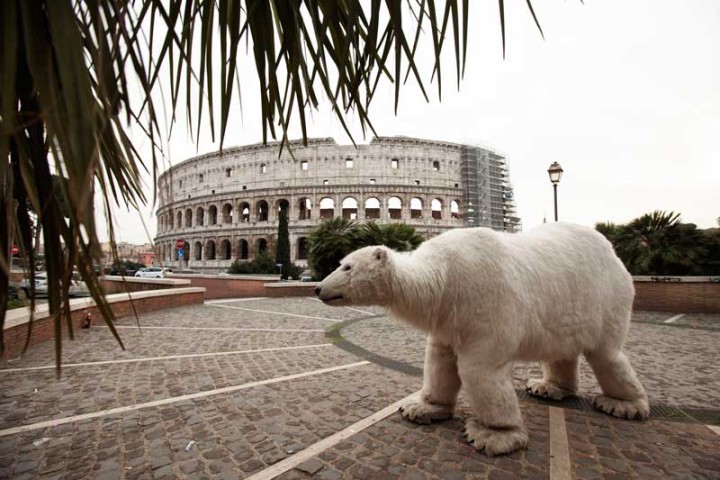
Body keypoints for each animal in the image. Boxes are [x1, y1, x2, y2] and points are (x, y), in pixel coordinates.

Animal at [315, 222, 649, 456]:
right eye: (340, 262)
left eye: (347, 266)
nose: (318, 288)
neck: (444, 277)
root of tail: (613, 252)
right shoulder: (448, 317)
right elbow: (439, 360)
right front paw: (422, 408)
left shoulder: (484, 301)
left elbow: (478, 369)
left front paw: (495, 435)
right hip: (565, 308)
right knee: (561, 348)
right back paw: (548, 387)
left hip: (604, 301)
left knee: (607, 354)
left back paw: (624, 404)